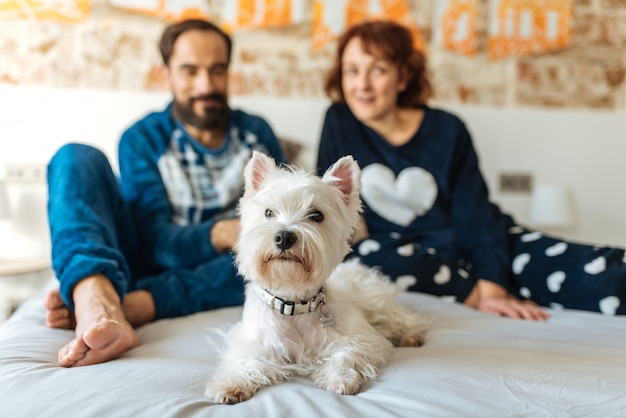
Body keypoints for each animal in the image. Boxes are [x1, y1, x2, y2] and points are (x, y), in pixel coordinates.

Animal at [202, 152, 426, 404]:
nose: (283, 237)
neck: (292, 302)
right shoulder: (252, 340)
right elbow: (246, 359)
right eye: (268, 212)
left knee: (402, 318)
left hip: (375, 301)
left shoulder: (360, 337)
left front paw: (340, 379)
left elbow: (346, 352)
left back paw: (411, 336)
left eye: (317, 215)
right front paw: (230, 385)